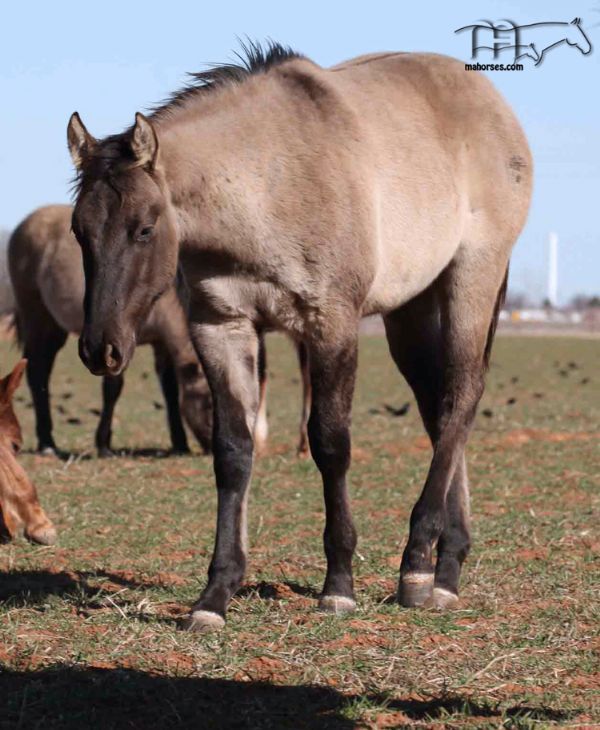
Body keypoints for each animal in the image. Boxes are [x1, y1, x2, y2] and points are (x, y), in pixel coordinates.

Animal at [68, 42, 532, 628]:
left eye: (145, 229)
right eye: (79, 231)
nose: (99, 349)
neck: (267, 184)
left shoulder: (331, 324)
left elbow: (330, 444)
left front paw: (339, 584)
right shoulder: (220, 327)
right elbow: (233, 451)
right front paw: (215, 594)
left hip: (472, 277)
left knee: (460, 399)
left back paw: (419, 567)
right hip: (410, 308)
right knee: (439, 411)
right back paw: (447, 564)